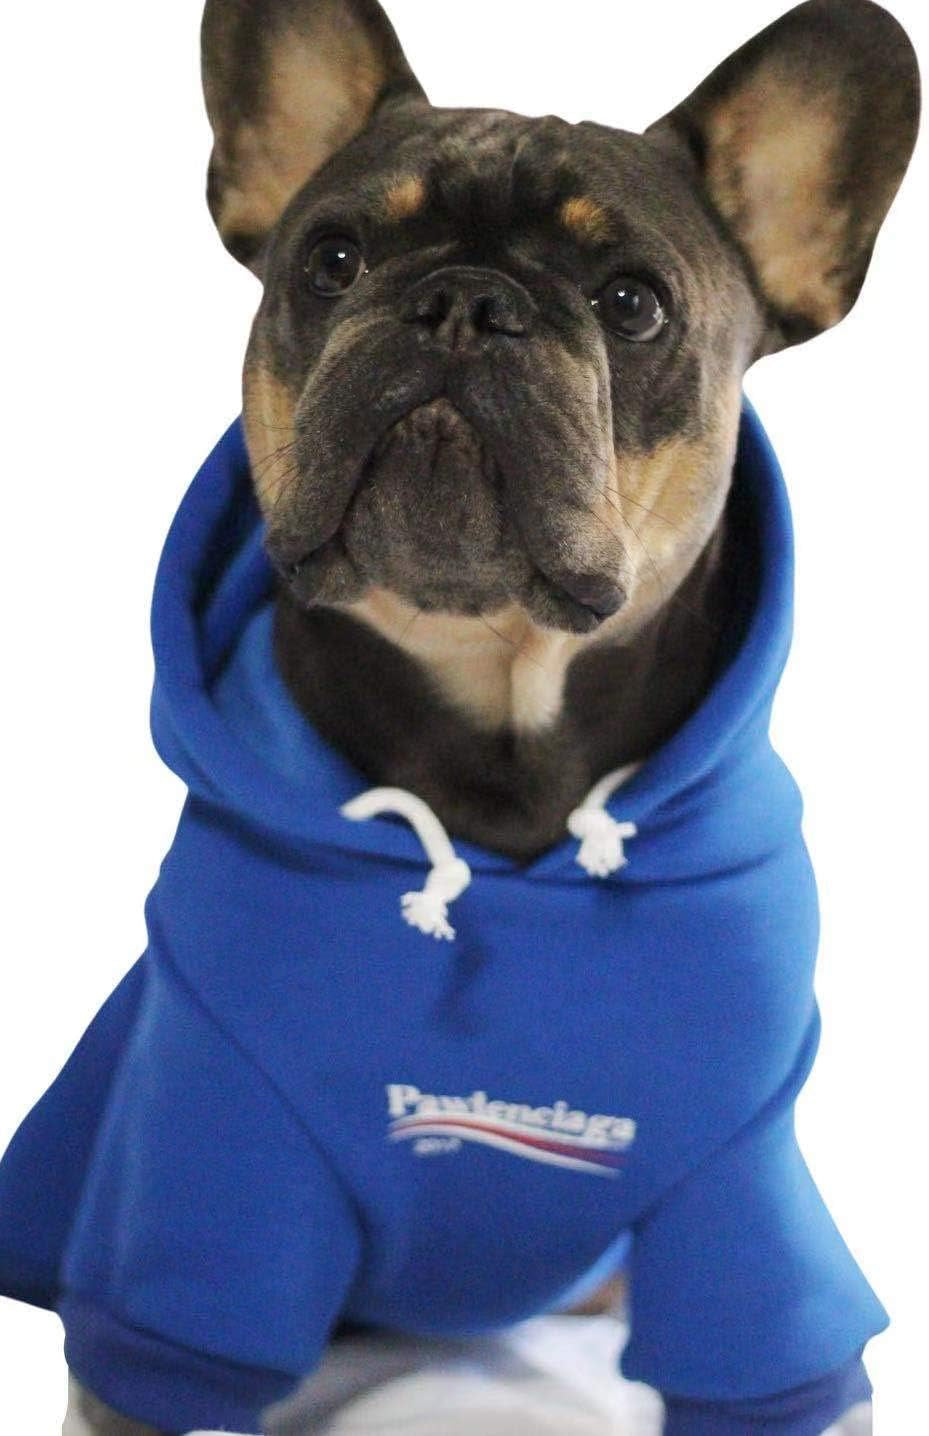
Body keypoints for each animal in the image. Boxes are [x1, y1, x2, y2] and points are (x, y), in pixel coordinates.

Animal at [0, 1, 918, 1433]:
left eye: (630, 302)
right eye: (332, 259)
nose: (462, 304)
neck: (500, 737)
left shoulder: (745, 1204)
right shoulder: (206, 1168)